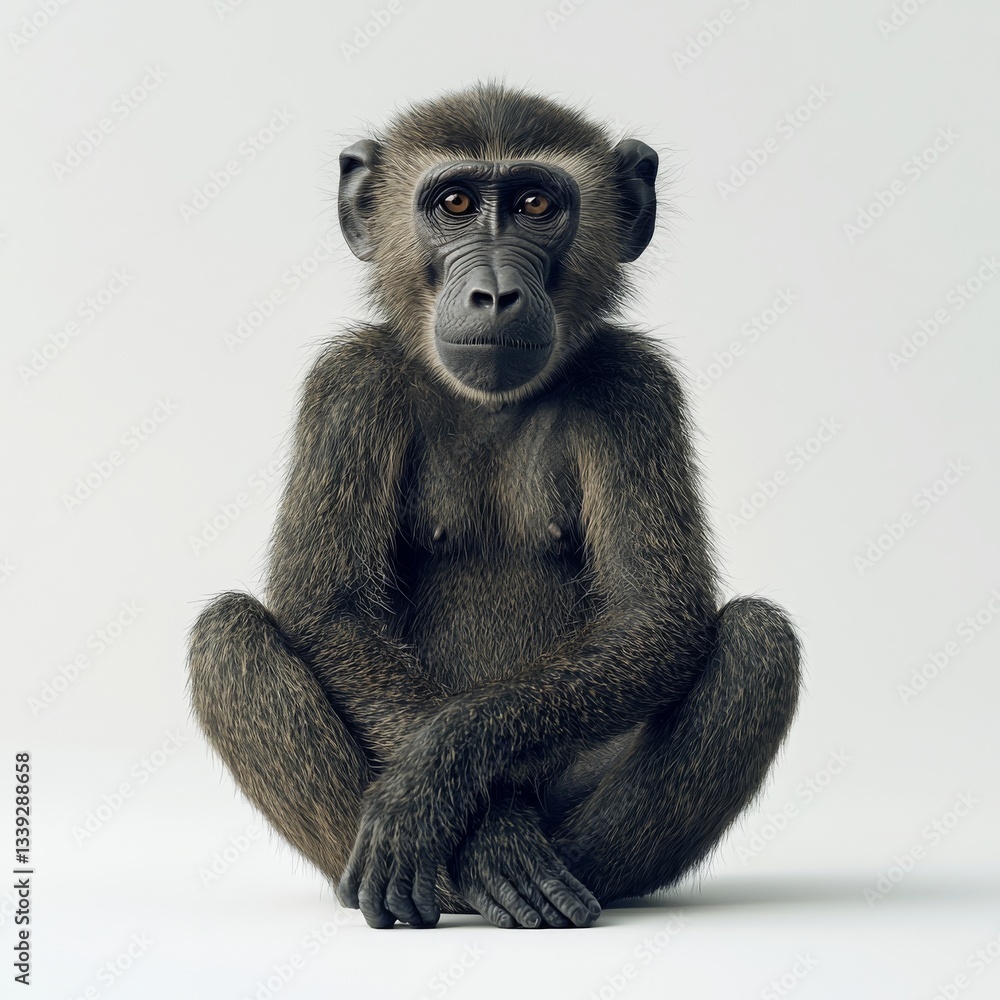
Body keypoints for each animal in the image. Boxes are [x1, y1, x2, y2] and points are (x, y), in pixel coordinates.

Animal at [187, 81, 801, 931]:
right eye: (453, 202)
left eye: (536, 204)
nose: (497, 291)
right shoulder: (348, 386)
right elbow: (331, 610)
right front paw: (481, 833)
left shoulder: (635, 388)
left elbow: (654, 612)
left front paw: (442, 769)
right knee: (228, 638)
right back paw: (471, 872)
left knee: (757, 642)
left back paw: (563, 869)